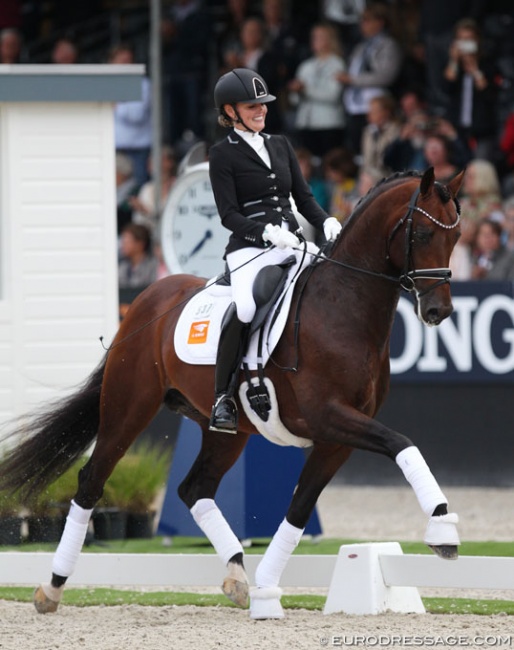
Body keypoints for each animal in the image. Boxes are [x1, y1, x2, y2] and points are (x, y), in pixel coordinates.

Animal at [0, 165, 462, 616]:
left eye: (456, 237)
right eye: (423, 234)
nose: (438, 311)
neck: (342, 307)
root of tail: (145, 301)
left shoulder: (337, 439)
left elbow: (299, 508)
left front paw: (266, 587)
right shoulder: (327, 415)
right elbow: (401, 443)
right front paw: (442, 527)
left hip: (225, 430)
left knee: (195, 489)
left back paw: (238, 576)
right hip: (127, 408)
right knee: (91, 482)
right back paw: (52, 587)